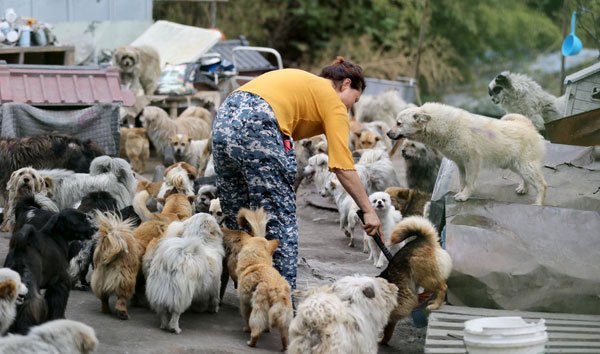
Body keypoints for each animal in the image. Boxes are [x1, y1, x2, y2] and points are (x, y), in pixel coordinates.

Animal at [3, 206, 95, 334]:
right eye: (80, 220)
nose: (96, 228)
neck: (56, 236)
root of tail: (21, 249)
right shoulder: (59, 284)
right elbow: (57, 305)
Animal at [236, 209, 292, 350]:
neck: (257, 262)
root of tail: (276, 291)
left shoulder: (245, 303)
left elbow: (245, 317)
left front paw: (246, 328)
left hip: (258, 311)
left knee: (256, 331)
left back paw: (251, 342)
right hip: (285, 318)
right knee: (284, 337)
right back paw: (284, 348)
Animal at [390, 102, 548, 205]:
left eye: (398, 123)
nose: (387, 133)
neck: (446, 126)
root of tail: (527, 124)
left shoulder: (472, 161)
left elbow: (469, 181)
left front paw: (464, 196)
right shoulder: (460, 164)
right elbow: (462, 180)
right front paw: (460, 192)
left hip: (525, 166)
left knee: (542, 185)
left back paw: (537, 205)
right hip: (515, 165)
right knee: (527, 179)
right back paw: (523, 189)